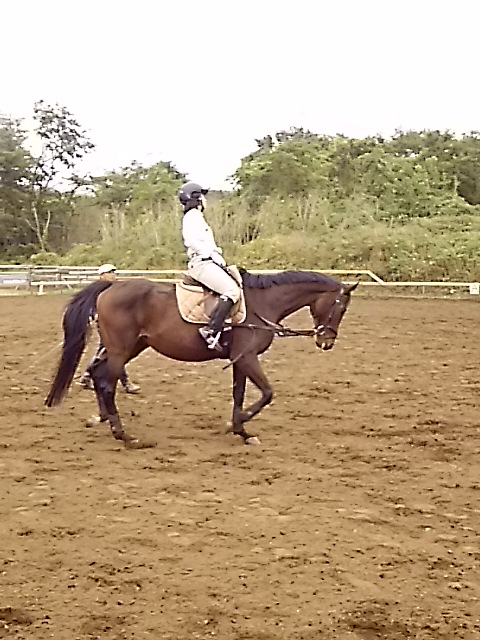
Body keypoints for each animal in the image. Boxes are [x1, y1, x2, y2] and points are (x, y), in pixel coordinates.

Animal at [45, 269, 357, 448]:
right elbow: (267, 393)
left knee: (99, 376)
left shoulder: (240, 360)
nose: (326, 341)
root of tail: (110, 287)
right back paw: (125, 436)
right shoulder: (248, 358)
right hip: (121, 349)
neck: (261, 303)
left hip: (131, 347)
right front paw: (238, 424)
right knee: (106, 384)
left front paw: (241, 430)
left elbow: (239, 394)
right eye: (341, 307)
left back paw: (103, 419)